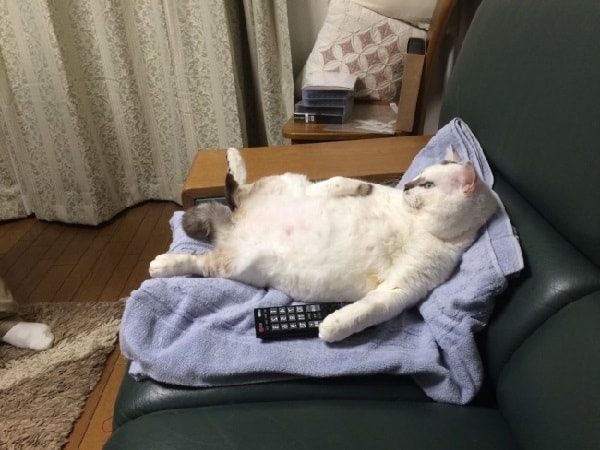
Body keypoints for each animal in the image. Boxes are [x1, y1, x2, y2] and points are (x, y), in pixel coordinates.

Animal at [149, 146, 499, 342]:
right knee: (238, 188)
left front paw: (332, 325)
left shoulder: (404, 287)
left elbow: (367, 310)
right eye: (419, 177)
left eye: (427, 185)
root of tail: (233, 226)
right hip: (288, 183)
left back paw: (163, 264)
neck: (416, 224)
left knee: (201, 259)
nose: (407, 185)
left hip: (233, 265)